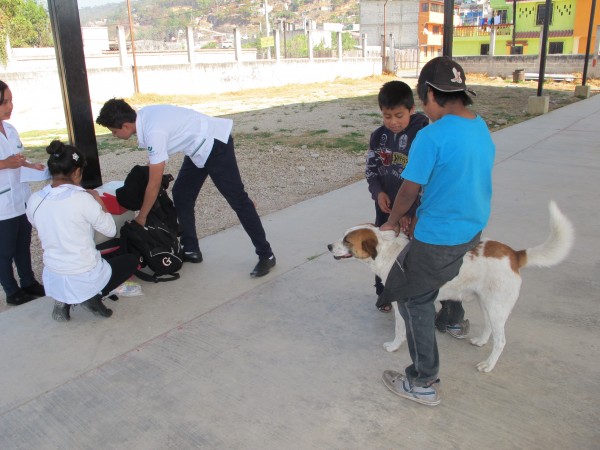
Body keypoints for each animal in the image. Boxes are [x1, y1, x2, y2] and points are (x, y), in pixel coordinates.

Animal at [330, 201, 576, 372]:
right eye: (342, 237)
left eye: (347, 241)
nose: (328, 246)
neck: (389, 252)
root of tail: (515, 255)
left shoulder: (403, 305)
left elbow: (400, 331)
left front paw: (394, 346)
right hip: (486, 302)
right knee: (490, 327)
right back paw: (480, 341)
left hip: (497, 306)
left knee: (501, 341)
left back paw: (488, 365)